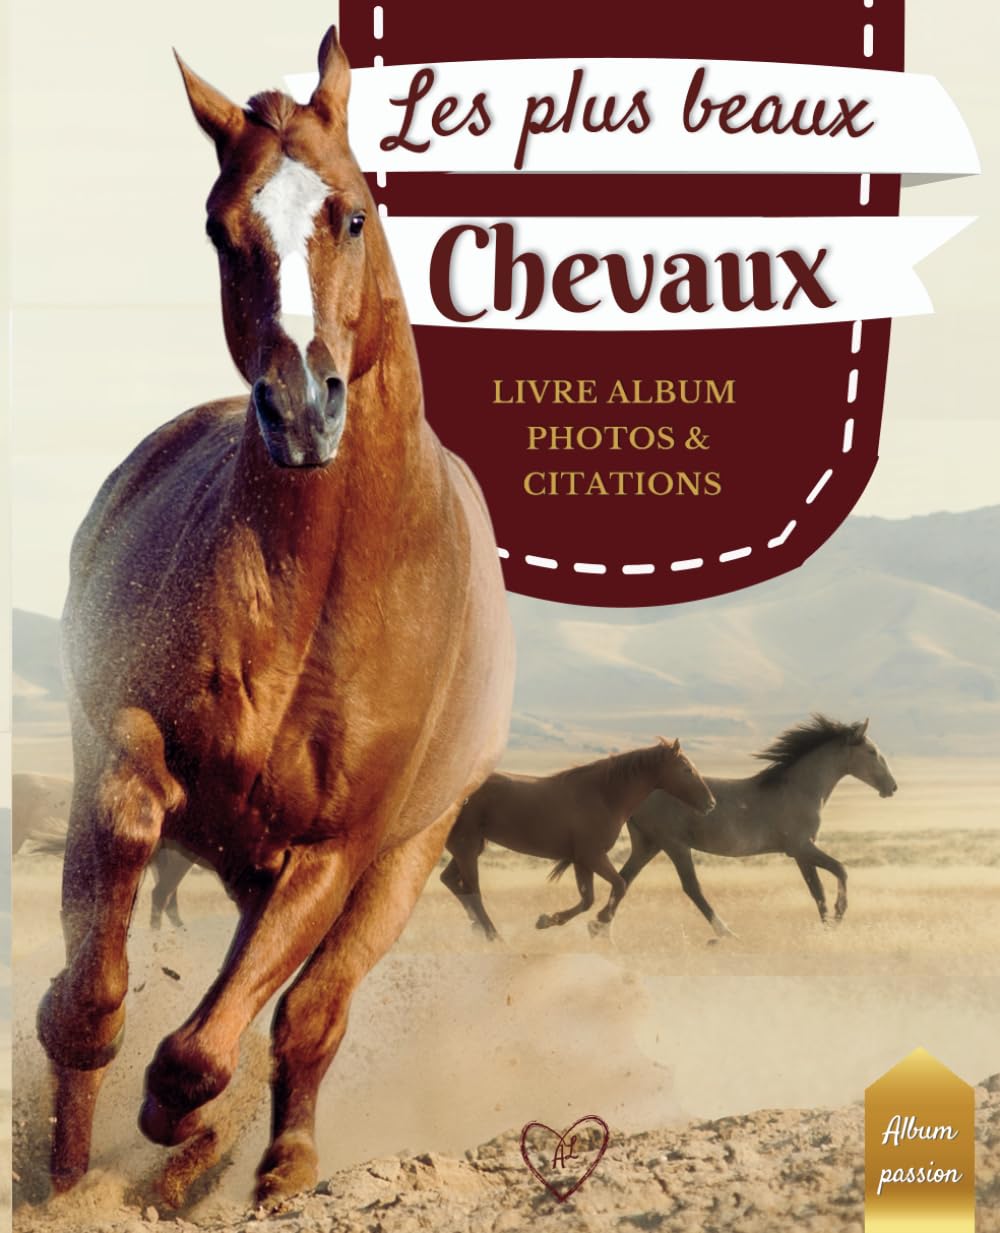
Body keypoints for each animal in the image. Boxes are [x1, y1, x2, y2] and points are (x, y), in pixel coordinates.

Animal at [36, 28, 514, 1210]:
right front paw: (98, 1098)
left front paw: (183, 1125)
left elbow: (216, 1045)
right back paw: (80, 1166)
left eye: (353, 213)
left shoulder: (335, 851)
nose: (302, 408)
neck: (320, 585)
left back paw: (277, 1162)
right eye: (221, 227)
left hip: (397, 863)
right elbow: (106, 938)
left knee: (308, 1016)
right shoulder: (127, 746)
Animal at [441, 738, 715, 940]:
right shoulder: (591, 855)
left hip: (471, 847)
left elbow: (587, 899)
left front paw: (547, 920)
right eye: (687, 770)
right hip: (466, 847)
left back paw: (479, 929)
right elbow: (619, 885)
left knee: (452, 882)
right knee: (471, 891)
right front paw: (600, 922)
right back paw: (493, 936)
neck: (603, 795)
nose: (710, 803)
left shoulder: (581, 860)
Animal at [610, 716, 897, 937]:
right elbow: (841, 870)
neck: (800, 789)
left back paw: (602, 929)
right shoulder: (801, 847)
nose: (892, 787)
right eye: (872, 752)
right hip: (674, 845)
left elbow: (817, 891)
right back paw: (726, 933)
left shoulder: (801, 853)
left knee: (624, 879)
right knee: (692, 887)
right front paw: (838, 917)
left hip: (648, 845)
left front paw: (826, 927)